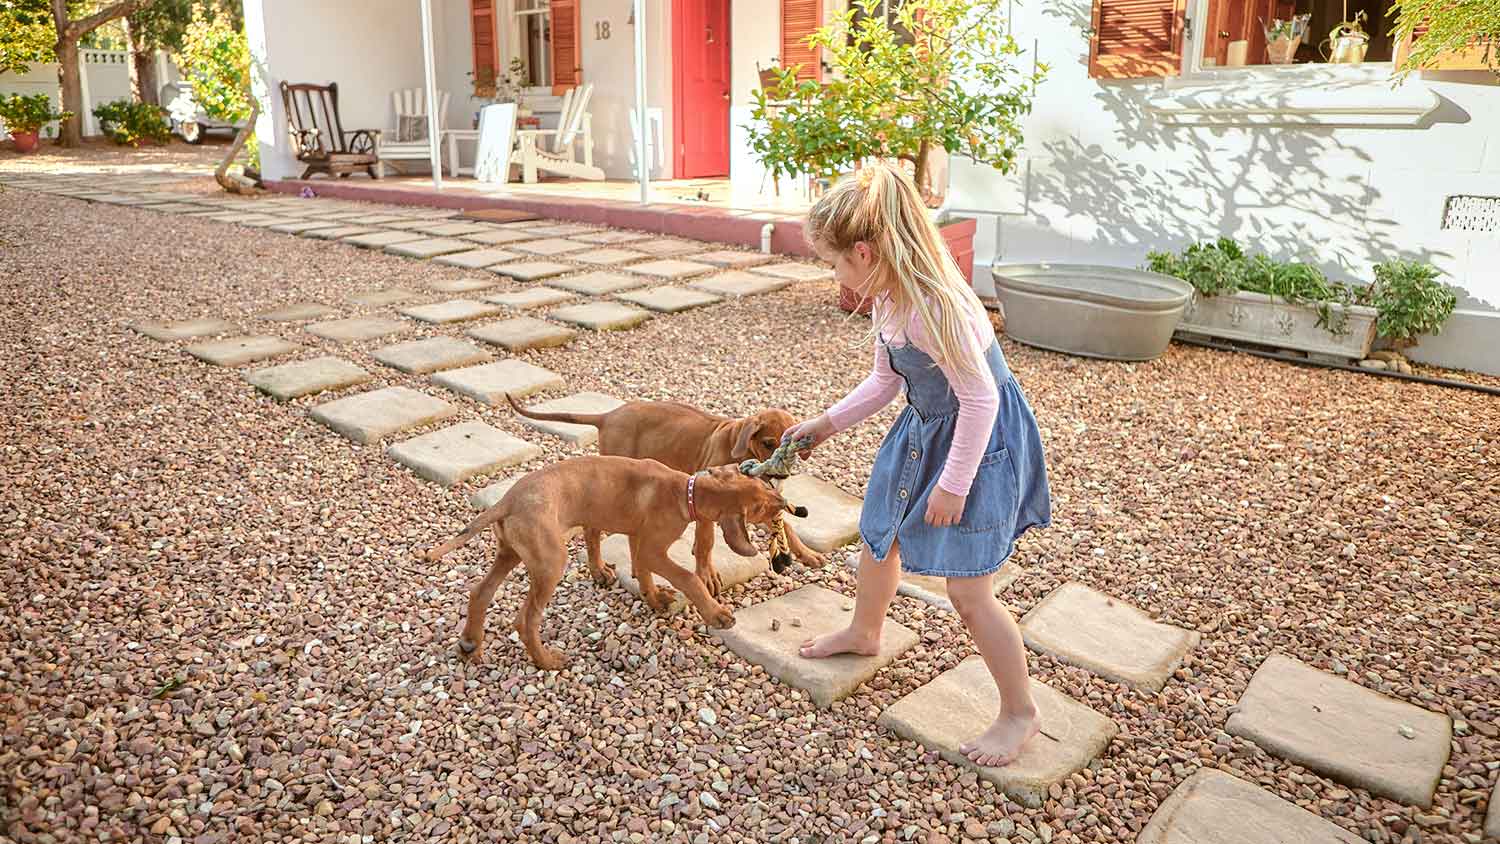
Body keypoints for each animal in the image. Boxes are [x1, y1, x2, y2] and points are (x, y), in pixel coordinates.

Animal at [423, 458, 798, 671]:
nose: (785, 502)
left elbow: (643, 574)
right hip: (550, 562)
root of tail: (507, 500)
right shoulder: (652, 549)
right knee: (525, 620)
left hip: (509, 553)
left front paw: (654, 599)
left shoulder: (639, 540)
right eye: (763, 505)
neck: (686, 490)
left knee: (479, 592)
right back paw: (547, 662)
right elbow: (688, 578)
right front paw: (716, 613)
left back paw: (470, 644)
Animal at [510, 398, 828, 590]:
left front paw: (807, 554)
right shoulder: (710, 503)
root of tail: (608, 415)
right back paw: (599, 569)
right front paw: (706, 574)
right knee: (592, 530)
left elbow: (785, 525)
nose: (782, 476)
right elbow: (706, 542)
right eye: (767, 442)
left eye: (791, 441)